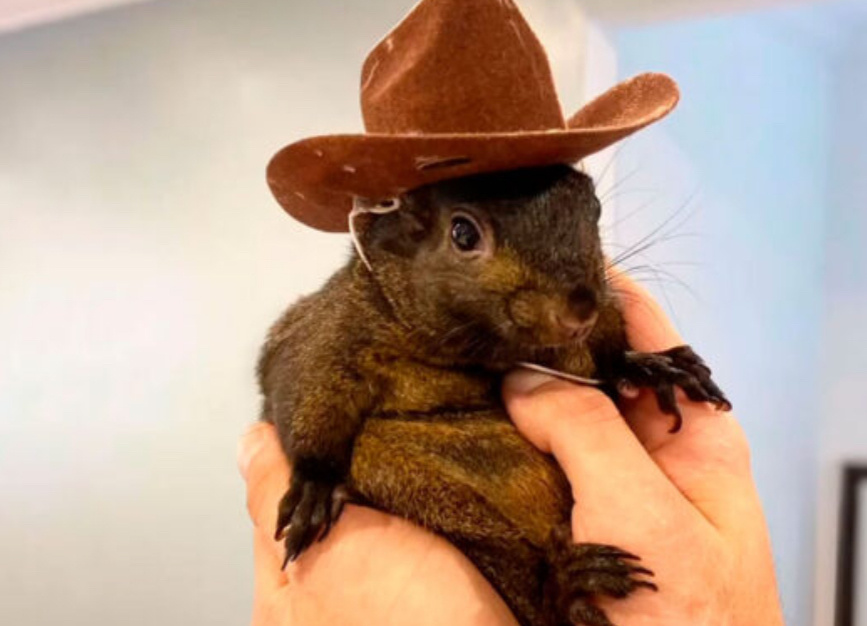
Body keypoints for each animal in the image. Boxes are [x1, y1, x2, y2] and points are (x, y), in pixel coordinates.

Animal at [257, 164, 731, 626]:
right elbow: (305, 387)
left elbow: (608, 355)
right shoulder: (330, 331)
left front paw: (648, 366)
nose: (580, 311)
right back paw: (565, 587)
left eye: (594, 208)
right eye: (463, 234)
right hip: (412, 485)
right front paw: (314, 484)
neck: (481, 352)